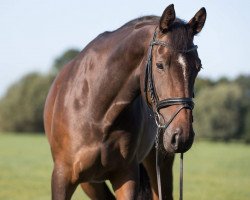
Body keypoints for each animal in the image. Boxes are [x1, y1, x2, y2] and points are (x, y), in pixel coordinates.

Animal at [44, 4, 206, 200]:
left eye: (198, 67)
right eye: (160, 65)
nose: (182, 136)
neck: (96, 114)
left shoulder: (126, 177)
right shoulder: (62, 177)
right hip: (90, 183)